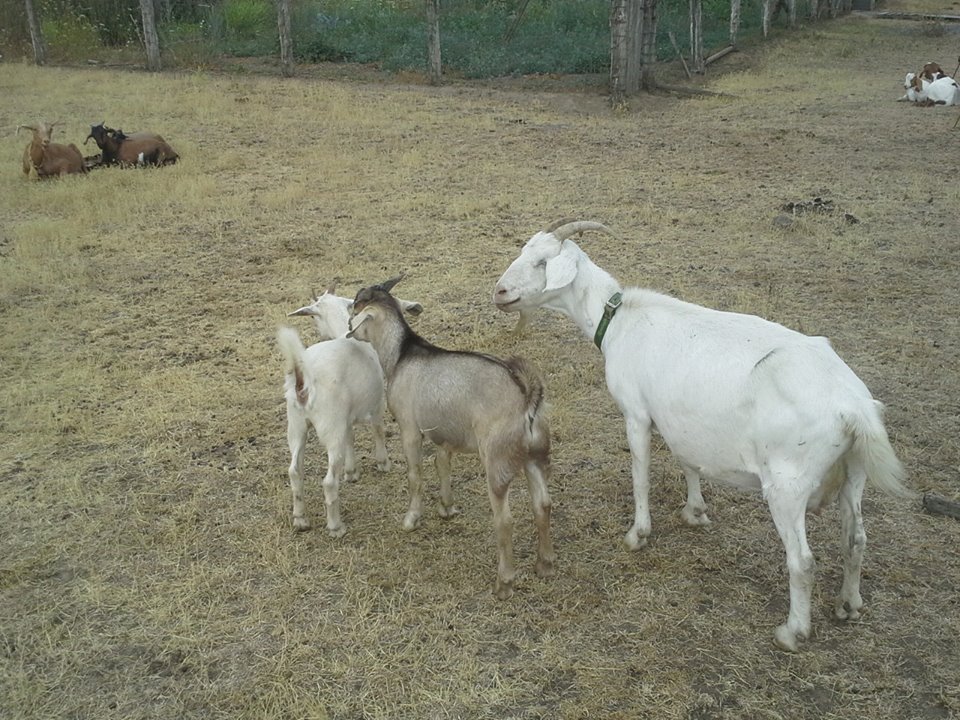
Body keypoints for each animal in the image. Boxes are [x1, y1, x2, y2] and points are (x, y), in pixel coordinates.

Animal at [281, 288, 423, 536]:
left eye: (313, 315)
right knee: (328, 482)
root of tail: (303, 380)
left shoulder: (345, 419)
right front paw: (383, 463)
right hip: (330, 429)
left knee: (294, 471)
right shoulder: (377, 403)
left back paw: (300, 520)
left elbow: (351, 438)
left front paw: (351, 472)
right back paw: (336, 526)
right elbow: (378, 430)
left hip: (297, 425)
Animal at [348, 276, 555, 599]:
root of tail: (527, 399)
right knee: (542, 505)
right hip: (536, 456)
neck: (402, 354)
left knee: (504, 520)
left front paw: (411, 519)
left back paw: (504, 583)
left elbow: (415, 475)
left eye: (357, 305)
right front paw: (447, 507)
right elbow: (442, 464)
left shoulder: (409, 428)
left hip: (497, 461)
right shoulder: (444, 435)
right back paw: (544, 565)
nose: (348, 320)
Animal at [493, 219, 911, 651]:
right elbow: (687, 460)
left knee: (802, 561)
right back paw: (848, 605)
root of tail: (855, 408)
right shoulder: (679, 418)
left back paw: (792, 632)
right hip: (854, 471)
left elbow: (640, 475)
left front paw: (638, 535)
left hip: (788, 483)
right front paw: (695, 511)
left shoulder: (636, 413)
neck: (619, 319)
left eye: (542, 262)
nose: (500, 292)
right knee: (856, 538)